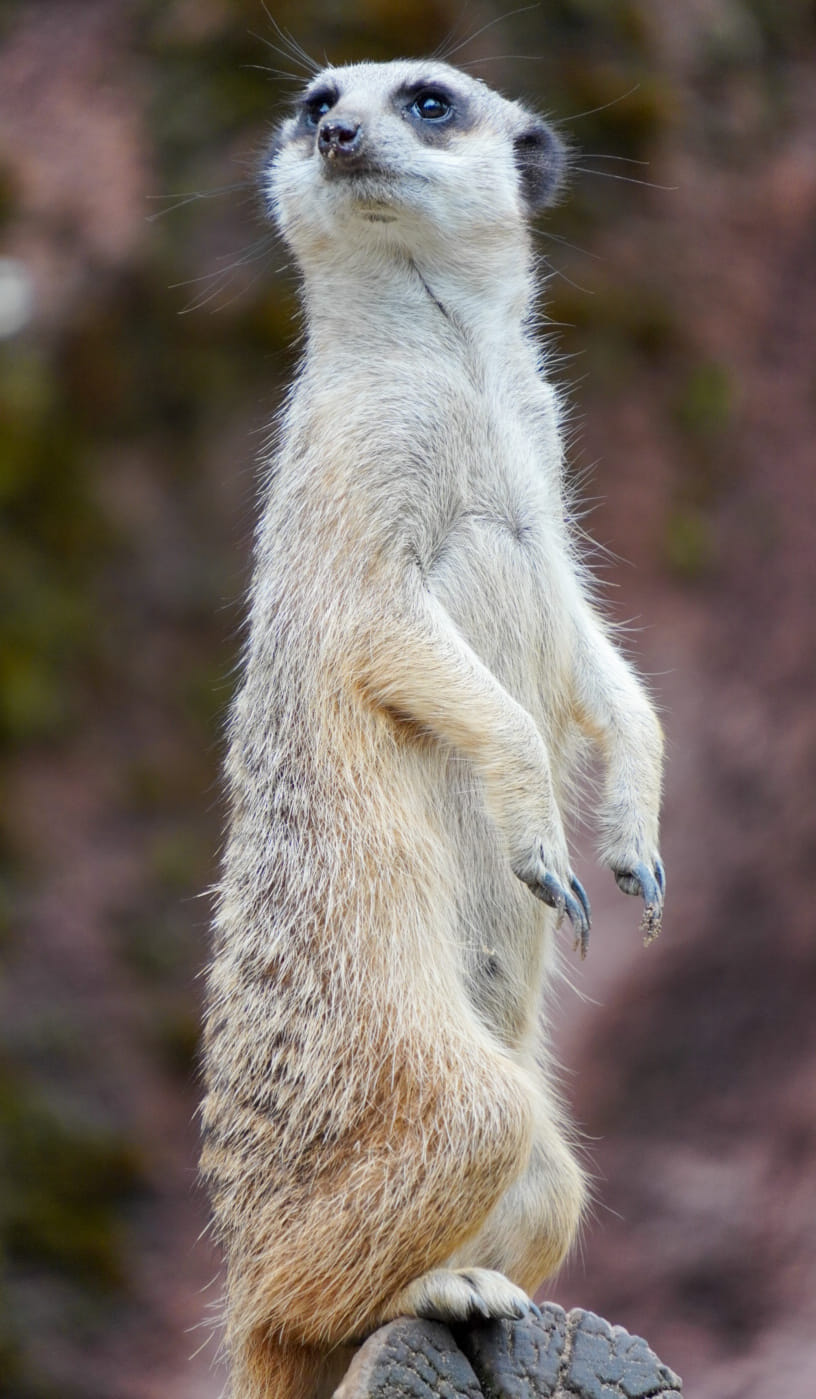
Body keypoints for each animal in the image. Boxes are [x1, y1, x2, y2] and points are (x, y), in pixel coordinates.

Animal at [201, 58, 665, 1399]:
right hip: (397, 1054)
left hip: (541, 1163)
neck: (454, 365)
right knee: (385, 1216)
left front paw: (635, 830)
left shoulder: (550, 476)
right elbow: (396, 635)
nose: (340, 133)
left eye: (428, 100)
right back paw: (436, 1283)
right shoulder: (353, 476)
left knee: (548, 1179)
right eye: (314, 103)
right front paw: (542, 833)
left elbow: (597, 660)